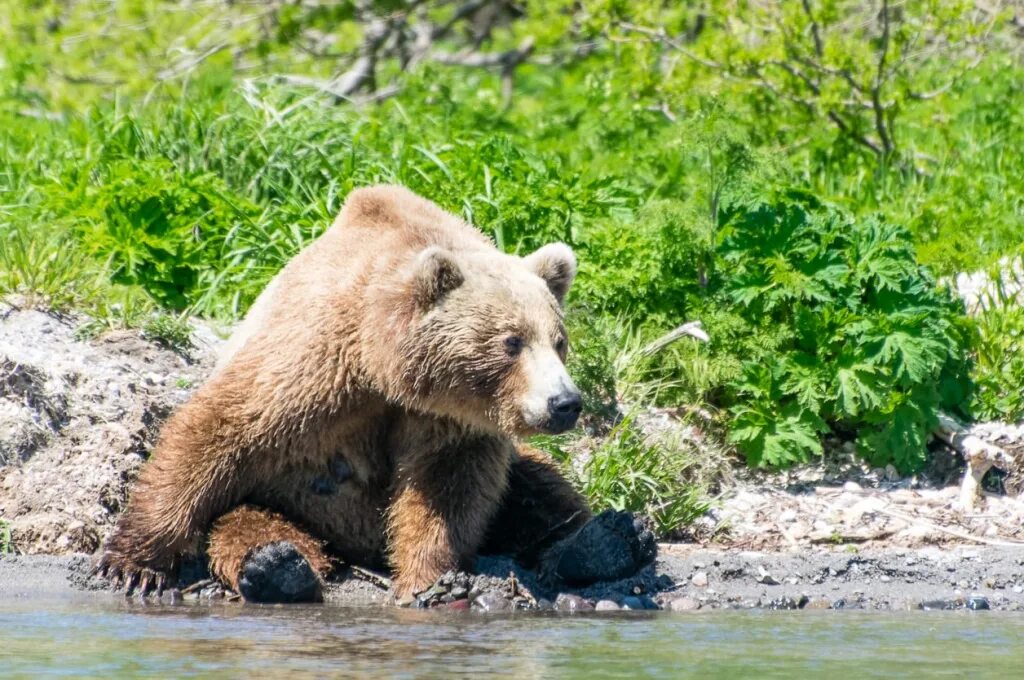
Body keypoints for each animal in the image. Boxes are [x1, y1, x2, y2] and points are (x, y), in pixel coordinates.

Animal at [97, 184, 655, 602]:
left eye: (559, 341)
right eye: (511, 341)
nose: (565, 403)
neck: (382, 362)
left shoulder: (450, 420)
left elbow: (447, 489)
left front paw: (433, 580)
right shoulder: (314, 364)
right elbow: (219, 429)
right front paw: (134, 563)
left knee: (541, 489)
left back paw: (609, 539)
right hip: (280, 499)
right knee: (247, 524)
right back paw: (277, 568)